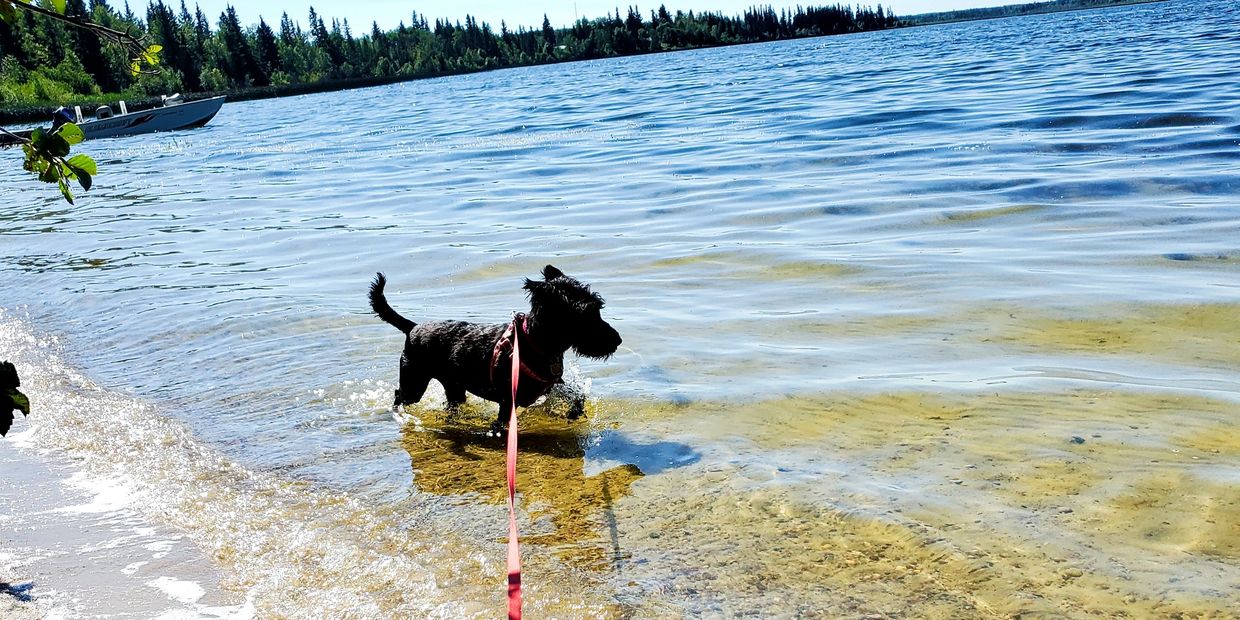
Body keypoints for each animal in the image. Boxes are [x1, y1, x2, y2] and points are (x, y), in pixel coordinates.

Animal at [367, 262, 620, 431]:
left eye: (598, 306)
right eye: (586, 313)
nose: (617, 340)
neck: (535, 343)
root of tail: (413, 327)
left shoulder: (549, 386)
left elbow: (576, 397)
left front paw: (573, 413)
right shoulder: (508, 401)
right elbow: (501, 423)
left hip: (454, 387)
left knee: (451, 404)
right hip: (415, 381)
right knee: (400, 394)